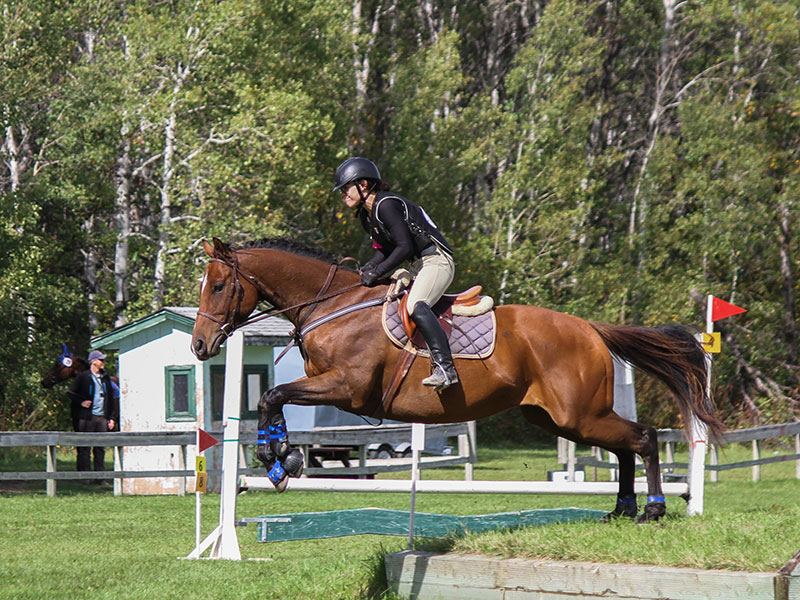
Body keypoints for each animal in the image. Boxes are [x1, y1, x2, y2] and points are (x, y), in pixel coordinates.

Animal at [191, 236, 724, 522]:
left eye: (217, 286)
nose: (199, 346)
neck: (333, 305)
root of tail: (591, 329)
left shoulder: (348, 389)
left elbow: (273, 394)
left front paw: (279, 458)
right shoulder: (332, 387)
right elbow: (275, 399)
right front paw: (280, 457)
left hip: (579, 414)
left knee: (643, 437)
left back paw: (653, 508)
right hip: (564, 419)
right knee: (623, 445)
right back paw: (624, 507)